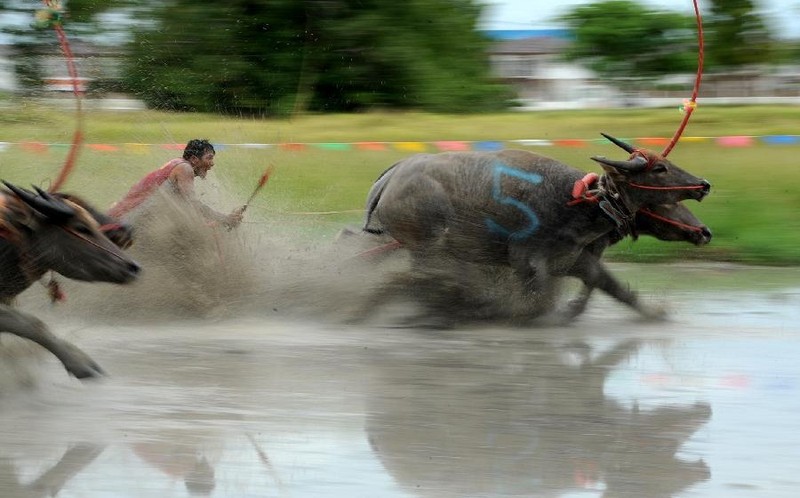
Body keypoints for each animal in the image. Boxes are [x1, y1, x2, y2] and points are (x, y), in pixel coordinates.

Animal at [360, 135, 708, 322]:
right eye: (660, 168)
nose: (703, 184)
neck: (574, 201)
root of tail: (389, 179)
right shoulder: (526, 260)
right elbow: (536, 298)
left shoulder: (574, 259)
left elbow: (609, 285)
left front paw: (653, 312)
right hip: (427, 246)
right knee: (425, 278)